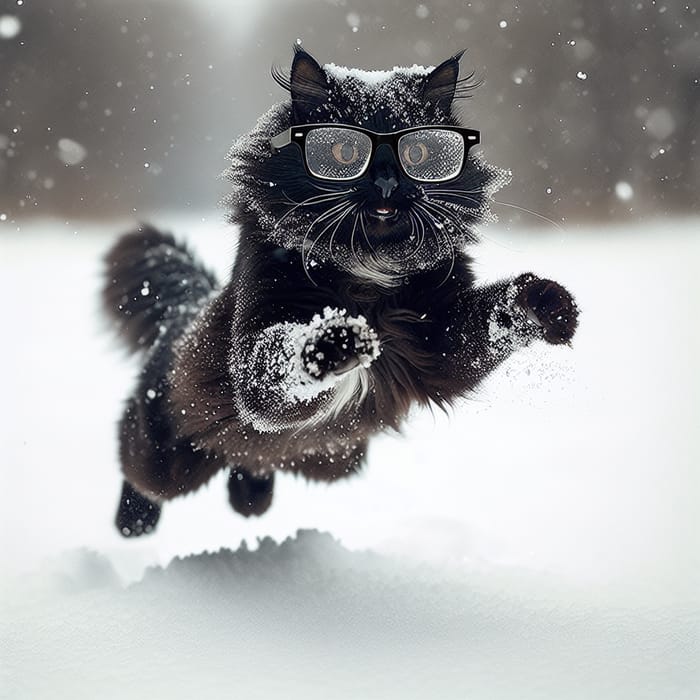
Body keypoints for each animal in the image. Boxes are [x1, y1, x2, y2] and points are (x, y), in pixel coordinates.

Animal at [102, 47, 576, 536]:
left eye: (418, 151)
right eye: (344, 150)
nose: (386, 184)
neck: (369, 267)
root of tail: (187, 310)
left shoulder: (438, 337)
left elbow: (492, 317)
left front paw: (548, 304)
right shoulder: (258, 354)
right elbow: (284, 356)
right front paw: (341, 340)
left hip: (333, 461)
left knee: (250, 471)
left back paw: (248, 499)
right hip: (165, 456)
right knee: (137, 467)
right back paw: (133, 522)